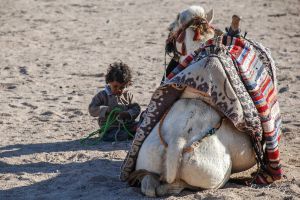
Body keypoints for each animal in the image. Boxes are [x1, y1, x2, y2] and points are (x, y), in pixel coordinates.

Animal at [135, 5, 256, 196]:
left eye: (171, 27)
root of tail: (177, 140)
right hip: (214, 175)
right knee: (182, 185)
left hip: (148, 160)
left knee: (148, 182)